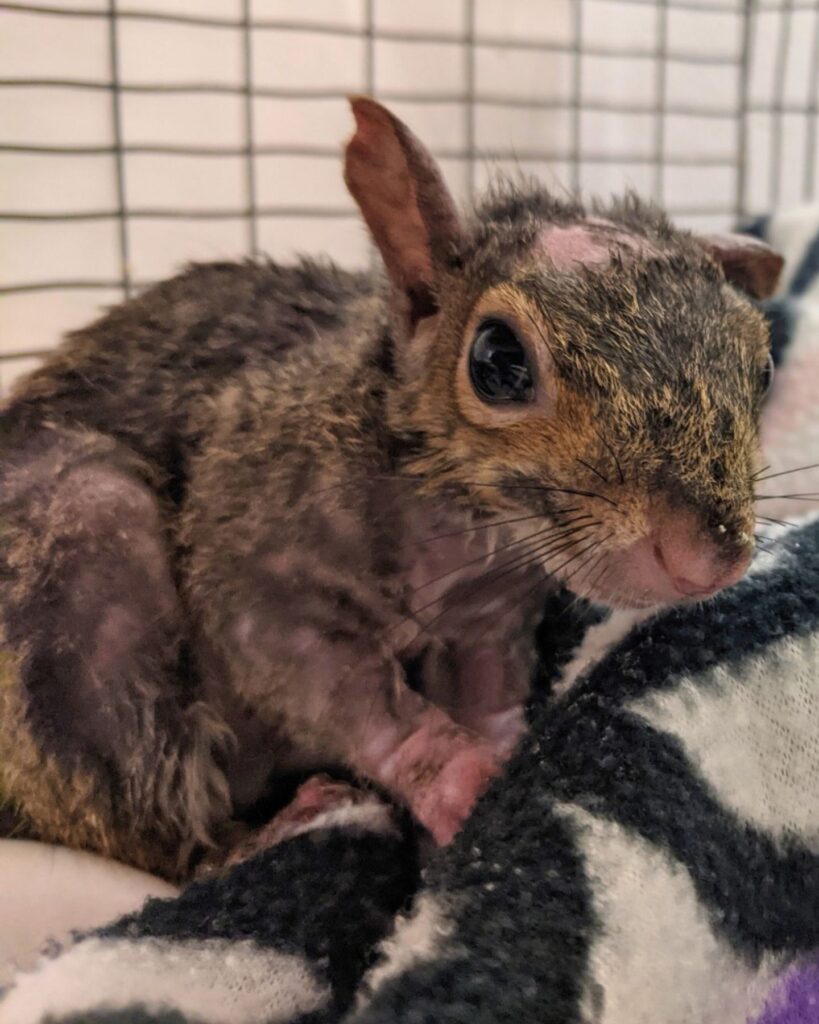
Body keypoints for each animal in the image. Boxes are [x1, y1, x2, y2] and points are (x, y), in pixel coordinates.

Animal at [0, 98, 782, 880]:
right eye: (497, 361)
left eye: (764, 368)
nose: (708, 555)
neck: (457, 530)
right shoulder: (253, 552)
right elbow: (342, 689)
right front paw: (461, 779)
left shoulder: (489, 614)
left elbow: (488, 689)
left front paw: (502, 759)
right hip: (83, 563)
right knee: (163, 838)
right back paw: (277, 827)